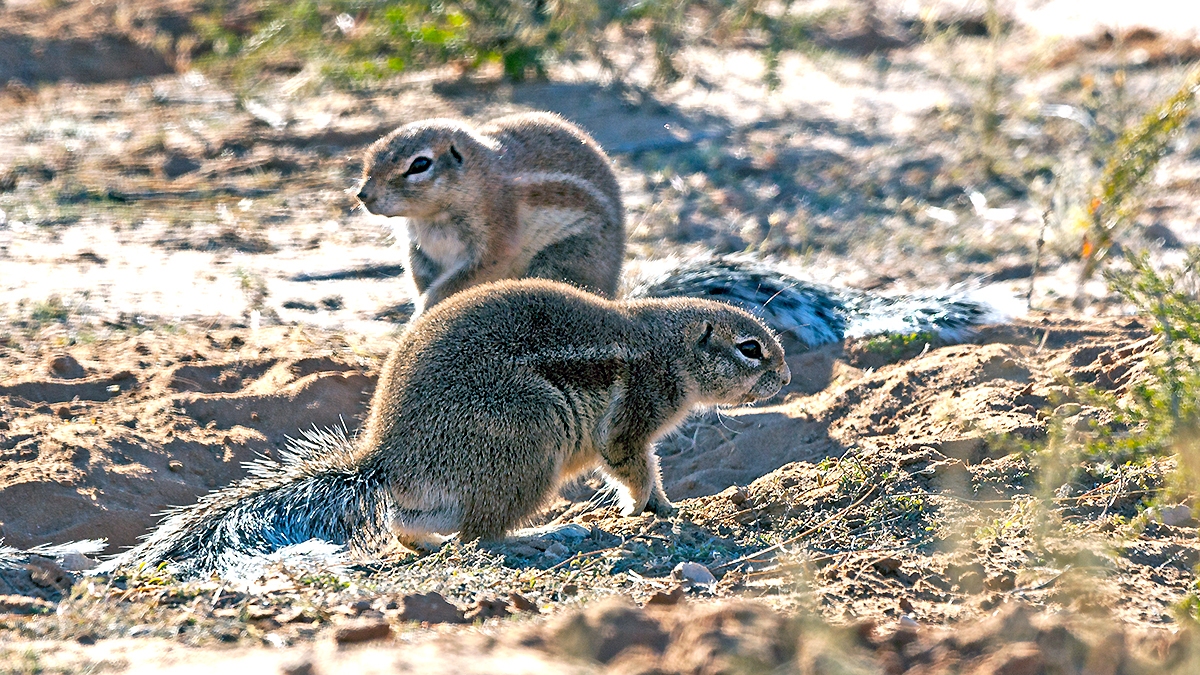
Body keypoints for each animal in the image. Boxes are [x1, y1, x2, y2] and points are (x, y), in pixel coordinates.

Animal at [106, 279, 790, 575]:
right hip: (530, 437)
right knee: (480, 536)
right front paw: (660, 508)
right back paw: (537, 536)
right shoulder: (632, 420)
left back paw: (430, 542)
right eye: (751, 348)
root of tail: (384, 460)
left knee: (415, 527)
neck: (665, 346)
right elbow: (634, 467)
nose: (785, 379)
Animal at [355, 112, 625, 317]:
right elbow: (420, 279)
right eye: (370, 153)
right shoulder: (417, 249)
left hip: (566, 257)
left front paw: (423, 314)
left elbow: (455, 284)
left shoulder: (495, 239)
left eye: (420, 165)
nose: (363, 194)